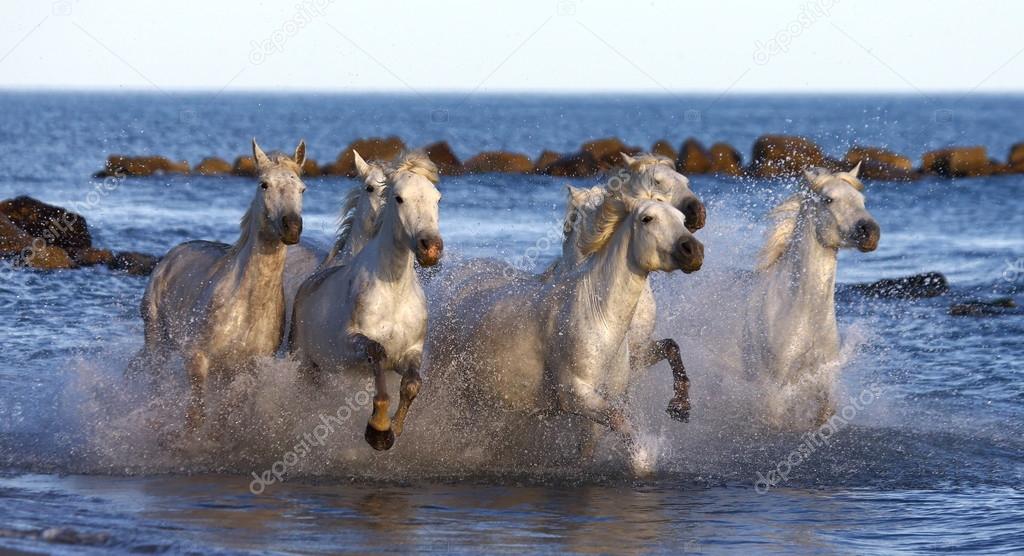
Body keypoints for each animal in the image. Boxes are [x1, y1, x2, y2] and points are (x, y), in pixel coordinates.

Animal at [292, 152, 444, 452]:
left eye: (437, 198)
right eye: (399, 198)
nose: (431, 248)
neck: (394, 291)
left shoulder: (410, 351)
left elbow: (412, 384)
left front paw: (394, 428)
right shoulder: (353, 343)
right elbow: (378, 356)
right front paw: (379, 430)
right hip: (304, 363)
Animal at [552, 153, 704, 421]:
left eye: (686, 180)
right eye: (657, 181)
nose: (697, 212)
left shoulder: (638, 352)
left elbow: (671, 347)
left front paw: (680, 405)